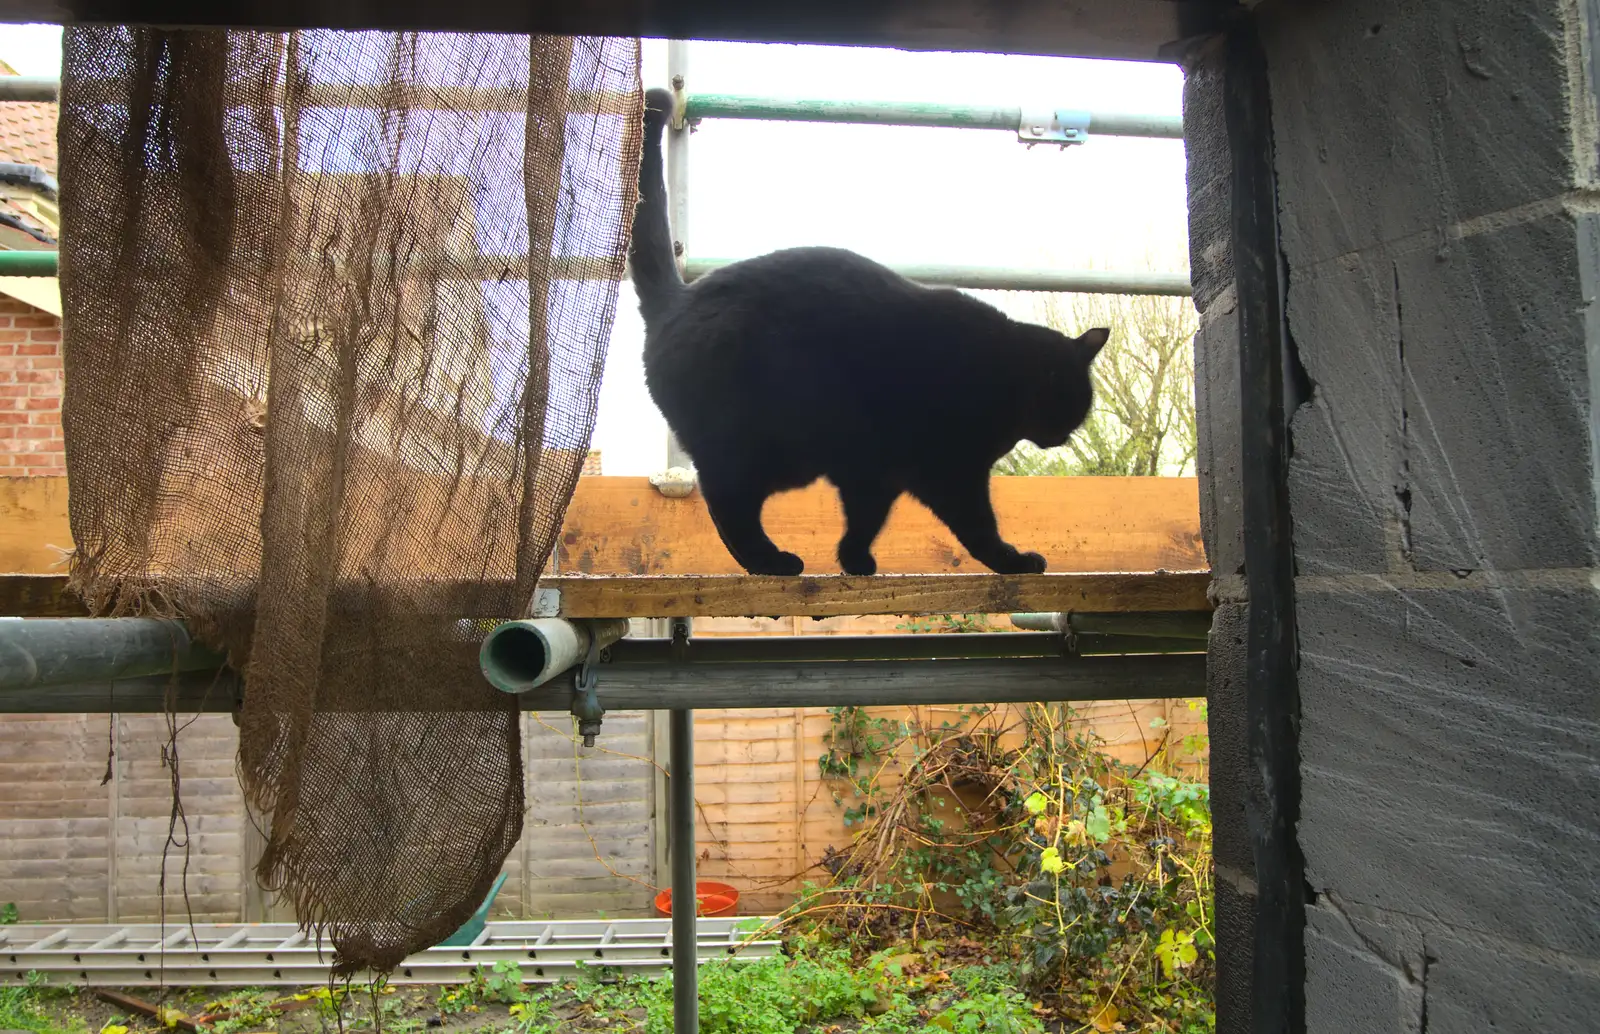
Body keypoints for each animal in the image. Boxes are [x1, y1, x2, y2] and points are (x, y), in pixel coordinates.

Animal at [630, 85, 1107, 579]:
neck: (1002, 380)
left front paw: (854, 559)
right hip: (760, 445)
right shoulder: (950, 471)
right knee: (726, 499)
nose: (1065, 436)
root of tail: (677, 299)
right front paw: (1012, 560)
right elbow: (978, 526)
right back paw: (770, 560)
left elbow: (866, 519)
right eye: (1075, 404)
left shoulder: (874, 471)